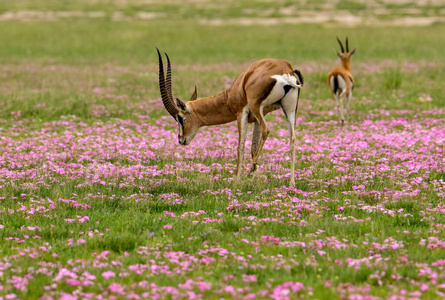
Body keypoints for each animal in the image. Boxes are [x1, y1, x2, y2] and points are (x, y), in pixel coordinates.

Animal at [155, 48, 302, 185]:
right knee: (293, 139)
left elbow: (241, 146)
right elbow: (253, 147)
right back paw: (291, 183)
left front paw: (237, 180)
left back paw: (249, 172)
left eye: (180, 118)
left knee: (267, 130)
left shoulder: (241, 113)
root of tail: (286, 72)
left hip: (256, 106)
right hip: (289, 110)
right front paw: (253, 178)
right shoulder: (257, 117)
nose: (181, 140)